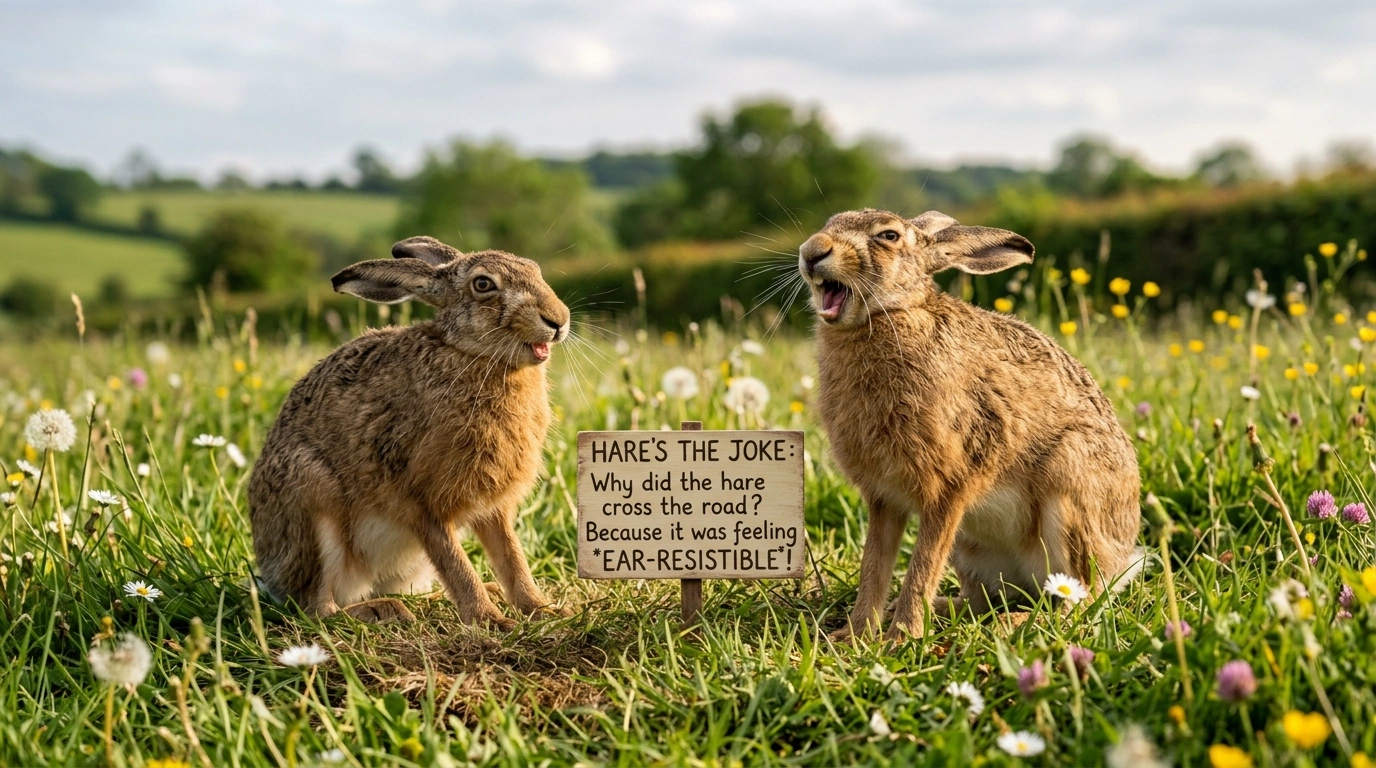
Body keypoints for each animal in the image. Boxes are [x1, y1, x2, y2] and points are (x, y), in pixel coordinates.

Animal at [249, 236, 571, 628]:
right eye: (483, 284)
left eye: (534, 269)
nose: (558, 320)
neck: (473, 355)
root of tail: (272, 578)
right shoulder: (421, 502)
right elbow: (456, 563)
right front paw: (492, 622)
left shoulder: (493, 507)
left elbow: (512, 558)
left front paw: (544, 610)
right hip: (311, 496)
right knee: (316, 608)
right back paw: (381, 610)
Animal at [799, 209, 1142, 641]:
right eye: (831, 221)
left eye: (888, 236)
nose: (811, 252)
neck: (892, 315)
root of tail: (1121, 561)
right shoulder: (884, 497)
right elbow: (873, 568)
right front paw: (854, 635)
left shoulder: (950, 486)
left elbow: (922, 566)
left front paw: (901, 638)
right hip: (971, 548)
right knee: (983, 598)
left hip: (1069, 491)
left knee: (1075, 602)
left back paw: (1011, 625)